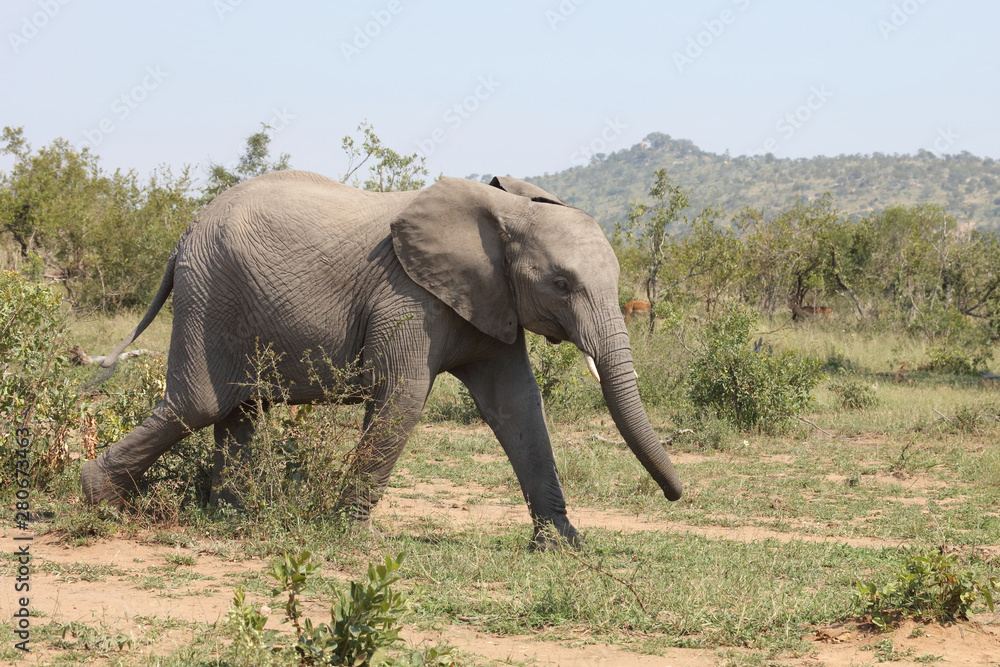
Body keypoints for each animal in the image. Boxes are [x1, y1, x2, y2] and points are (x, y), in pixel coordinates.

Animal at [80, 171, 683, 546]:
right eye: (561, 284)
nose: (677, 495)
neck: (505, 211)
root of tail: (183, 236)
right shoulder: (406, 295)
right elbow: (402, 397)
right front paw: (356, 538)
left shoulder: (493, 300)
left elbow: (517, 406)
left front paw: (563, 546)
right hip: (209, 294)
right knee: (198, 404)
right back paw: (98, 499)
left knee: (238, 414)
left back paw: (232, 517)